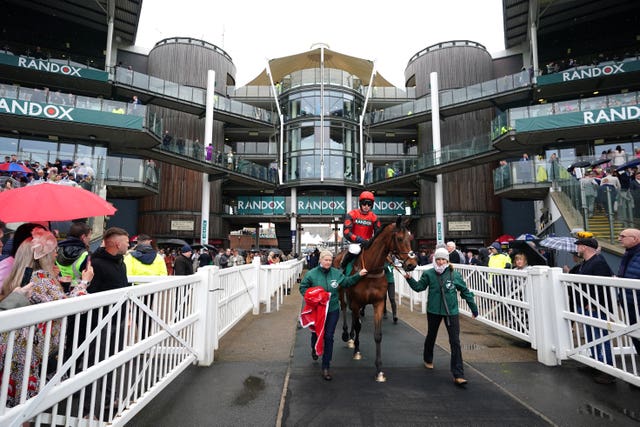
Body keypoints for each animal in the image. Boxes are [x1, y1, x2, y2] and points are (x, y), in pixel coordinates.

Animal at [332, 216, 418, 382]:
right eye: (399, 238)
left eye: (410, 238)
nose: (412, 264)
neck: (371, 269)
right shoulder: (357, 301)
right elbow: (358, 325)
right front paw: (357, 351)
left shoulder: (378, 302)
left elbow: (377, 335)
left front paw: (379, 370)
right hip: (341, 291)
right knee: (345, 308)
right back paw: (346, 334)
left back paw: (351, 336)